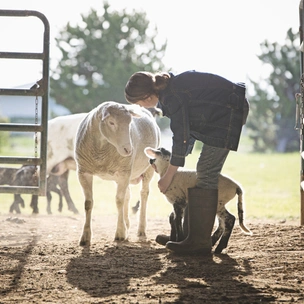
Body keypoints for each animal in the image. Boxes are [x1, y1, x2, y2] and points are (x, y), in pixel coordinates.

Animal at [75, 101, 160, 246]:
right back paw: (127, 225)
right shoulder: (83, 172)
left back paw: (141, 229)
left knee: (144, 194)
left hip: (147, 168)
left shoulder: (123, 172)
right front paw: (85, 237)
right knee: (128, 195)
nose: (128, 150)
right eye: (111, 122)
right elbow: (88, 203)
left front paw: (120, 233)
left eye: (130, 122)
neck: (101, 148)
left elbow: (119, 201)